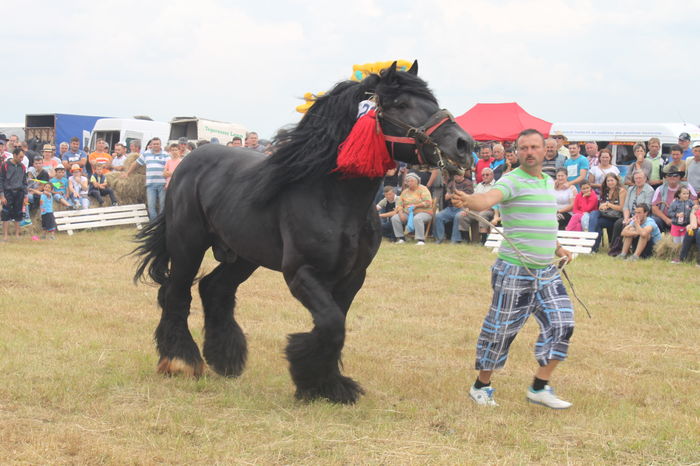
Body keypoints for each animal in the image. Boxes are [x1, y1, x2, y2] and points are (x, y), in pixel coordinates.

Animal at [132, 61, 474, 404]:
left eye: (432, 100)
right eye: (401, 104)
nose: (464, 144)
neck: (332, 197)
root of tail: (190, 160)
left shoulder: (353, 277)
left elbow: (335, 326)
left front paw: (327, 385)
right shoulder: (301, 273)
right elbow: (332, 325)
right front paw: (311, 376)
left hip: (243, 255)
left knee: (214, 289)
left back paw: (225, 359)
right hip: (187, 243)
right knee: (177, 294)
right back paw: (181, 361)